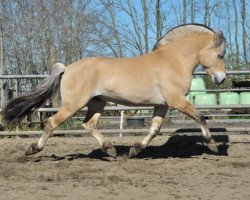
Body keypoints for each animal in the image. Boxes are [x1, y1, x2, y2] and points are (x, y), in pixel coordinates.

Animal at [0, 23, 227, 158]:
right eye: (220, 55)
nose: (222, 79)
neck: (173, 61)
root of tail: (67, 68)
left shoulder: (162, 105)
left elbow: (154, 130)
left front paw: (135, 150)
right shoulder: (177, 101)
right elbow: (200, 117)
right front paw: (214, 146)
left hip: (98, 103)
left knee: (88, 124)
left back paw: (110, 150)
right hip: (74, 105)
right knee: (51, 122)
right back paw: (33, 149)